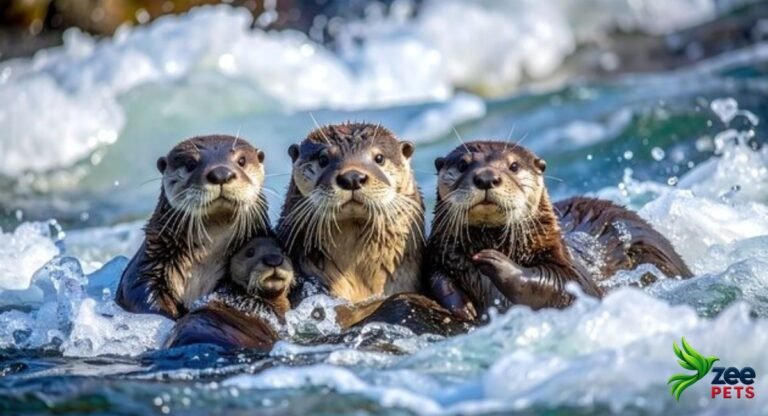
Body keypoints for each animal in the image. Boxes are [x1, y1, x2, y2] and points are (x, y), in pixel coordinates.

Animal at [425, 141, 692, 319]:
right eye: (462, 165)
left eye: (514, 166)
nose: (486, 177)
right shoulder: (439, 254)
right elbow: (435, 277)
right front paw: (462, 306)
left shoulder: (565, 260)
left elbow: (566, 286)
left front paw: (495, 260)